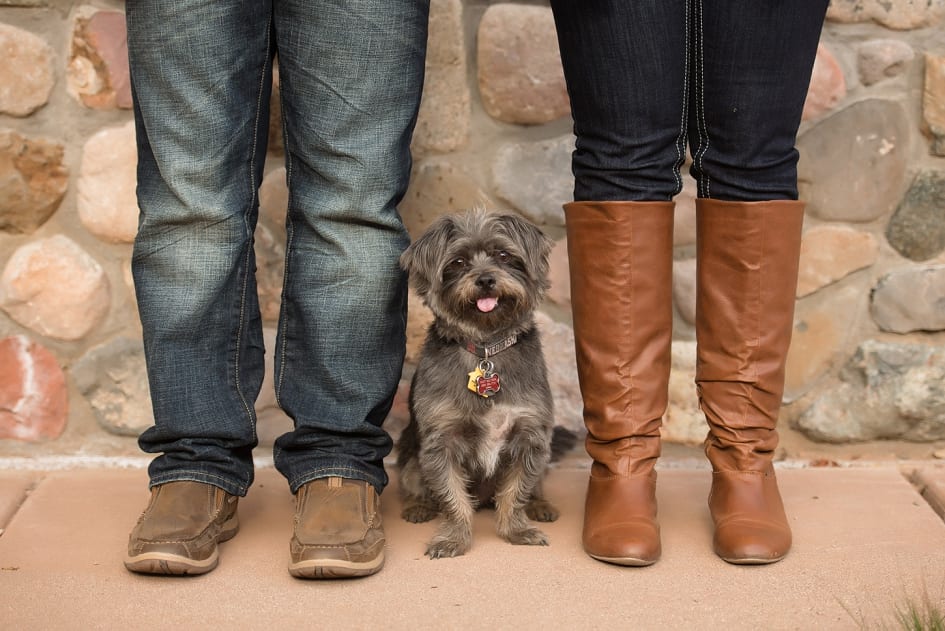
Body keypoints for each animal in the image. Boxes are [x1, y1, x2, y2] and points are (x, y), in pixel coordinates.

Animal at [392, 210, 556, 560]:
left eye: (504, 255)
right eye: (458, 262)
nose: (485, 280)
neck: (486, 348)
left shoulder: (530, 437)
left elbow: (516, 492)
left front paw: (517, 531)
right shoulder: (441, 443)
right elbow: (453, 497)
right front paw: (453, 539)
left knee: (535, 486)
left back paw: (541, 505)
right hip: (410, 454)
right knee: (413, 482)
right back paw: (417, 506)